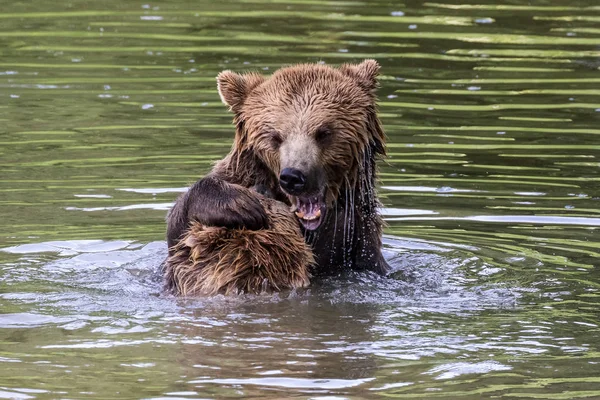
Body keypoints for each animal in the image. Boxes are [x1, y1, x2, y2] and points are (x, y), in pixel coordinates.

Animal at [165, 59, 390, 296]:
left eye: (324, 132)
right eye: (275, 136)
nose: (293, 176)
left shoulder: (360, 240)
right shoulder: (237, 175)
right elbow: (177, 226)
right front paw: (240, 205)